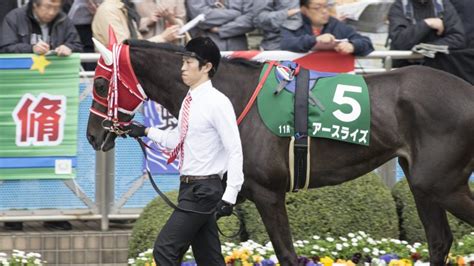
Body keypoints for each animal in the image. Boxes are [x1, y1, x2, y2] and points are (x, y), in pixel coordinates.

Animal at [87, 40, 474, 266]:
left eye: (100, 84)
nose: (93, 135)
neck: (233, 96)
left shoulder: (268, 193)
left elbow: (287, 254)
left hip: (442, 183)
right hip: (423, 184)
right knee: (439, 241)